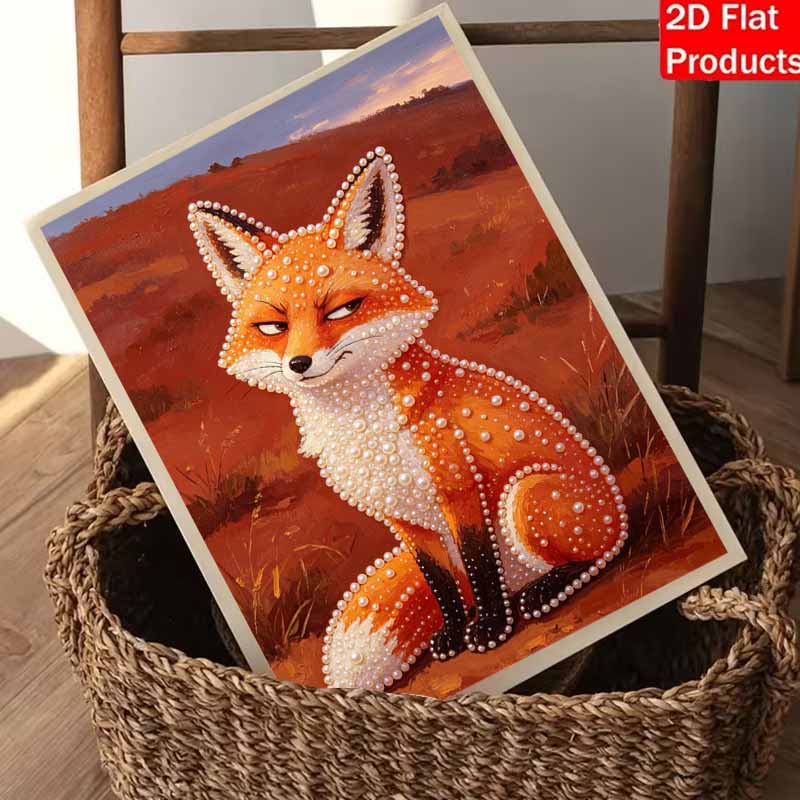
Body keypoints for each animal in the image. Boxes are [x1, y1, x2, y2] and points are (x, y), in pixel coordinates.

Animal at [188, 146, 628, 692]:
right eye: (273, 327)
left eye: (342, 310)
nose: (300, 364)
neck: (362, 427)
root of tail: (616, 505)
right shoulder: (402, 518)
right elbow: (439, 583)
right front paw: (454, 633)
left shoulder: (458, 486)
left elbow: (480, 563)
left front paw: (489, 630)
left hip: (527, 497)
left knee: (596, 552)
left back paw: (544, 591)